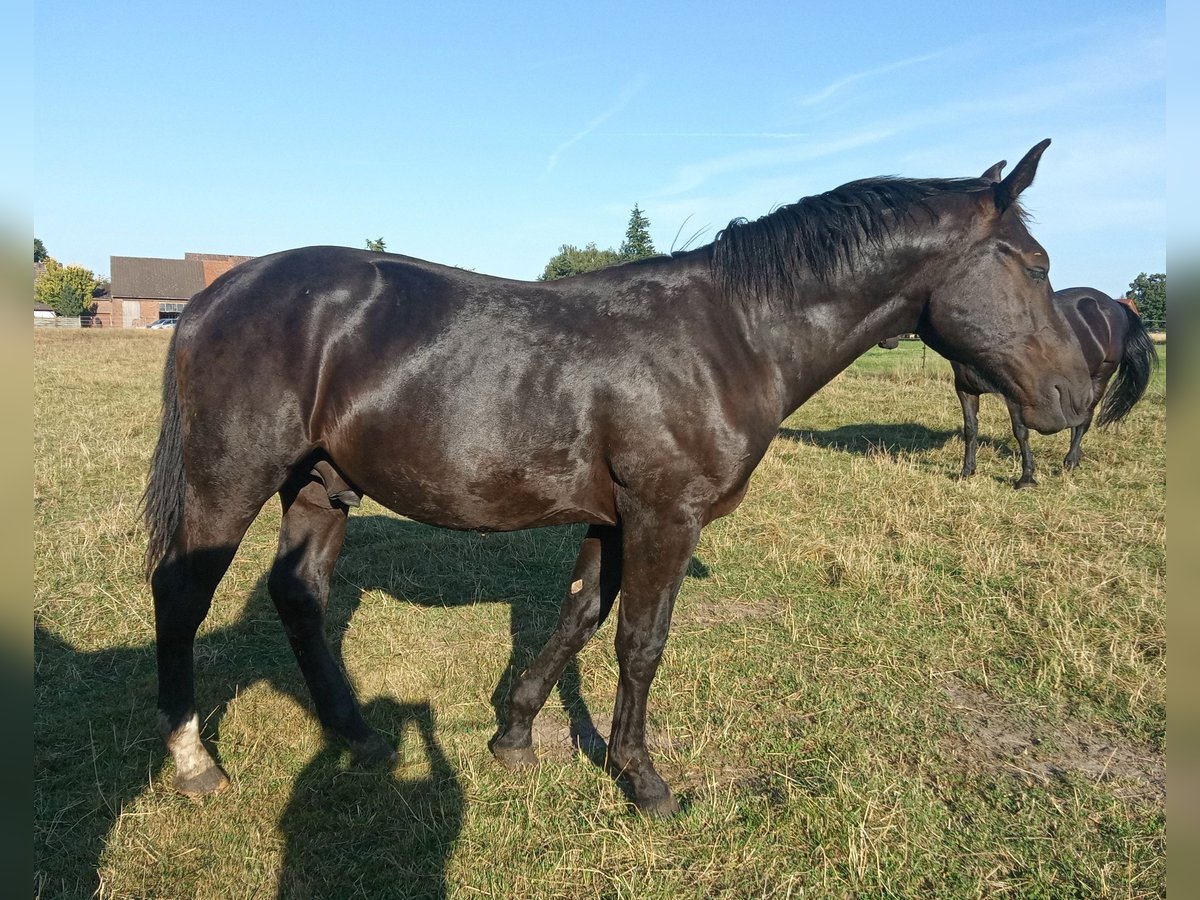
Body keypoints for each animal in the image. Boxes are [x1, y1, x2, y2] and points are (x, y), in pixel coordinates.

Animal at [145, 139, 1094, 816]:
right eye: (1036, 265)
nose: (1075, 395)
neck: (731, 335)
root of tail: (214, 296)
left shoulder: (613, 517)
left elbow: (577, 619)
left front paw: (515, 737)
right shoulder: (665, 516)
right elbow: (641, 643)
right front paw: (642, 780)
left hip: (320, 485)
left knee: (299, 595)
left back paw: (357, 735)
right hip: (230, 481)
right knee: (181, 597)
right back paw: (194, 763)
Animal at [950, 286, 1156, 487]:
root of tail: (1115, 305)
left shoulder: (1015, 393)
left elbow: (1020, 431)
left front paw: (1026, 478)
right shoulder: (965, 389)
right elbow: (970, 428)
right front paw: (966, 472)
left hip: (1100, 377)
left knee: (1085, 420)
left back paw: (1070, 462)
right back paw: (1075, 460)